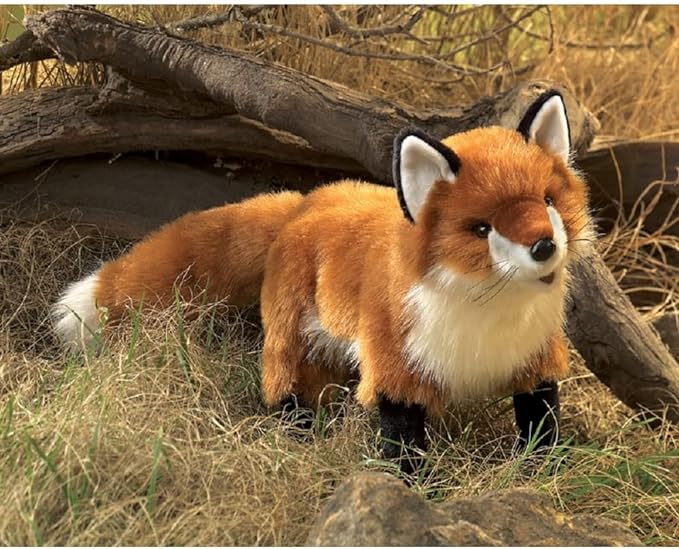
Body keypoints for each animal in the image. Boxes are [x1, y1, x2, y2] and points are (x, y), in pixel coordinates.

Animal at [52, 90, 592, 473]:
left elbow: (541, 425)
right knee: (285, 391)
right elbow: (404, 445)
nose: (544, 246)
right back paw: (299, 435)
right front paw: (420, 491)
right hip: (294, 344)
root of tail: (305, 200)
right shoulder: (397, 368)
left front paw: (546, 474)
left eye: (547, 201)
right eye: (482, 229)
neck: (488, 322)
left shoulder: (536, 361)